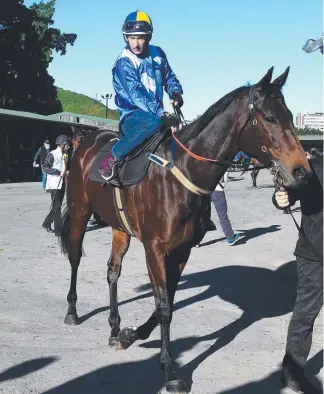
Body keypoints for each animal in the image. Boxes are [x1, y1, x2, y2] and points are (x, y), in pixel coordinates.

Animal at [60, 66, 312, 392]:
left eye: (290, 115)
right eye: (269, 117)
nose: (302, 171)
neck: (180, 175)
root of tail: (86, 142)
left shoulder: (182, 250)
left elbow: (167, 300)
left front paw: (133, 334)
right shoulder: (154, 249)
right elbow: (164, 306)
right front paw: (170, 369)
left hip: (120, 228)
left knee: (112, 271)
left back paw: (115, 327)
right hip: (79, 211)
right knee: (75, 257)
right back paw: (72, 311)